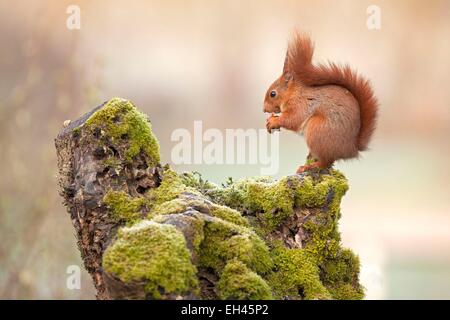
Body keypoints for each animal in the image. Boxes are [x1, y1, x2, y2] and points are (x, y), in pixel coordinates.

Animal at [266, 32, 378, 172]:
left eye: (273, 94)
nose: (264, 109)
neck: (294, 93)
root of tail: (351, 149)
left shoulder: (301, 105)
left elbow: (293, 120)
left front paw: (273, 121)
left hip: (317, 130)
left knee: (326, 162)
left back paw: (310, 166)